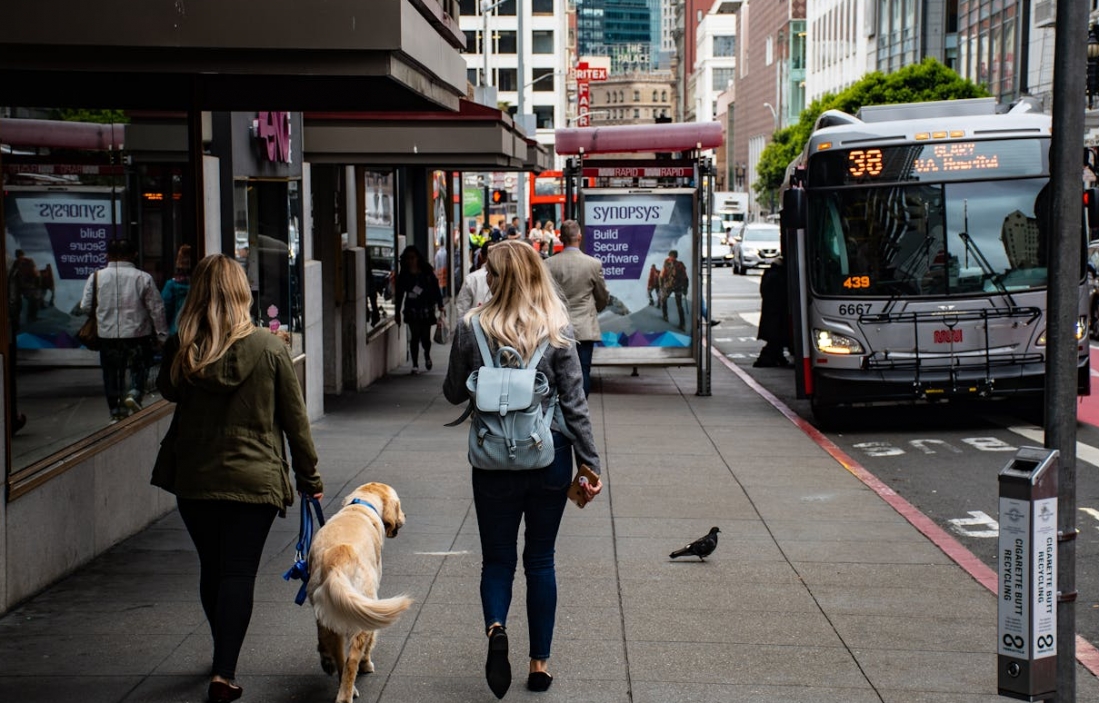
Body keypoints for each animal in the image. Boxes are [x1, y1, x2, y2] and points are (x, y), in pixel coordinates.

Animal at [307, 481, 413, 698]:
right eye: (399, 505)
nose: (406, 515)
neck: (360, 506)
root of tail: (336, 563)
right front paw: (367, 665)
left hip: (330, 612)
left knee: (335, 652)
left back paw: (331, 666)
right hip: (362, 612)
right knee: (352, 661)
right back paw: (349, 690)